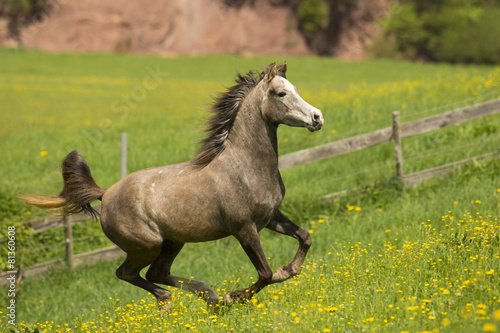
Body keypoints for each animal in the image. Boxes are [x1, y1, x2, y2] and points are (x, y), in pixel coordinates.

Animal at [19, 63, 324, 312]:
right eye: (281, 94)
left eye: (295, 89)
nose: (317, 117)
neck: (244, 166)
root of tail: (105, 195)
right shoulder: (244, 229)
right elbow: (265, 273)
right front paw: (233, 297)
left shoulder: (271, 217)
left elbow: (305, 238)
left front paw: (288, 270)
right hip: (147, 245)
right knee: (128, 273)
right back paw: (175, 301)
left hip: (173, 241)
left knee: (157, 273)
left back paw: (207, 295)